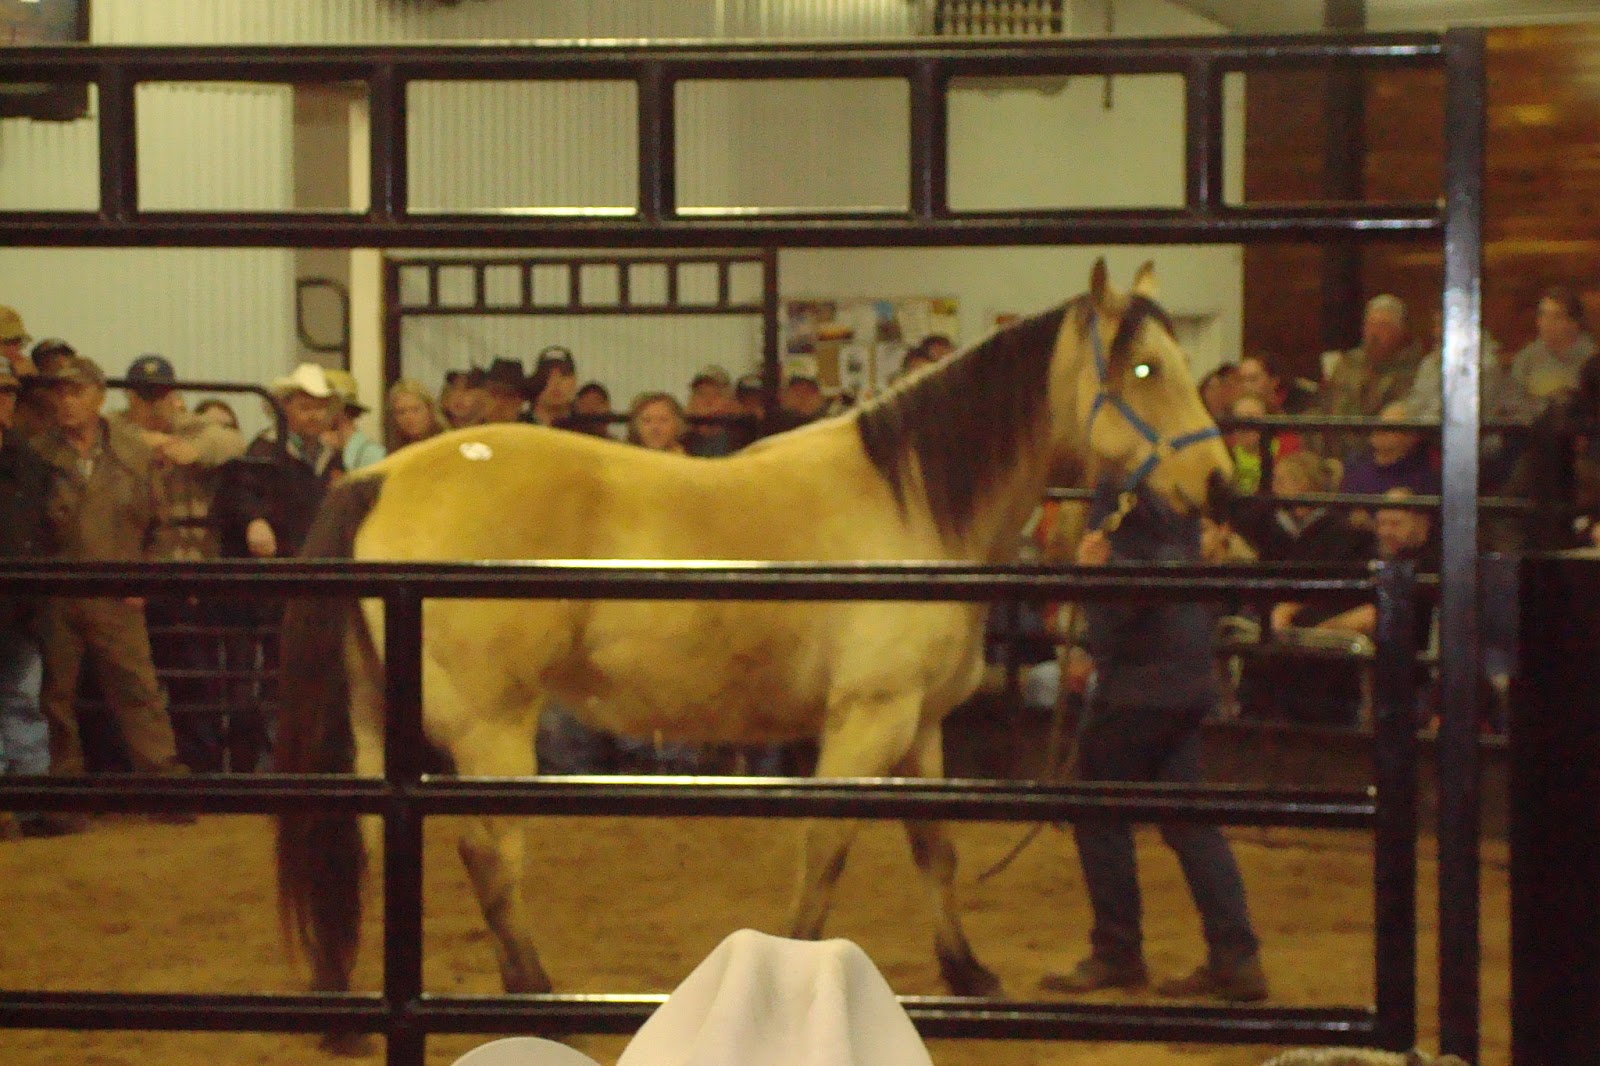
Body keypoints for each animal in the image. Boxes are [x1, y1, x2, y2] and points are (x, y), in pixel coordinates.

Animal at [274, 258, 1233, 1012]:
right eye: (1144, 366)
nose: (1220, 484)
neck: (913, 506)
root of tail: (379, 478)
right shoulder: (867, 719)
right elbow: (826, 850)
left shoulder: (919, 723)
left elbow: (935, 849)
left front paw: (969, 973)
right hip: (490, 727)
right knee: (490, 854)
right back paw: (533, 991)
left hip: (380, 720)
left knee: (372, 839)